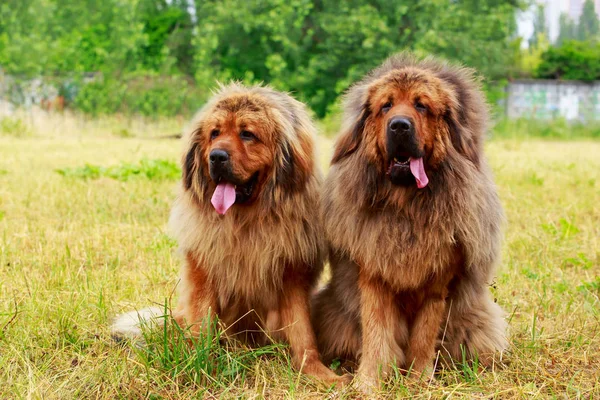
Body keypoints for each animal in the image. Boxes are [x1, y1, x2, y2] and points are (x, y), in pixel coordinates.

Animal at [112, 83, 346, 386]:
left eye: (247, 134)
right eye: (215, 133)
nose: (216, 157)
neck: (247, 221)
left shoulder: (292, 275)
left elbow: (302, 331)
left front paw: (317, 372)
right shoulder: (203, 270)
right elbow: (201, 325)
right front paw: (198, 365)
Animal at [312, 54, 508, 390]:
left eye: (422, 106)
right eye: (386, 106)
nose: (399, 126)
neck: (406, 210)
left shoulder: (438, 283)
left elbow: (424, 336)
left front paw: (419, 380)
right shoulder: (373, 275)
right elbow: (376, 332)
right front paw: (369, 382)